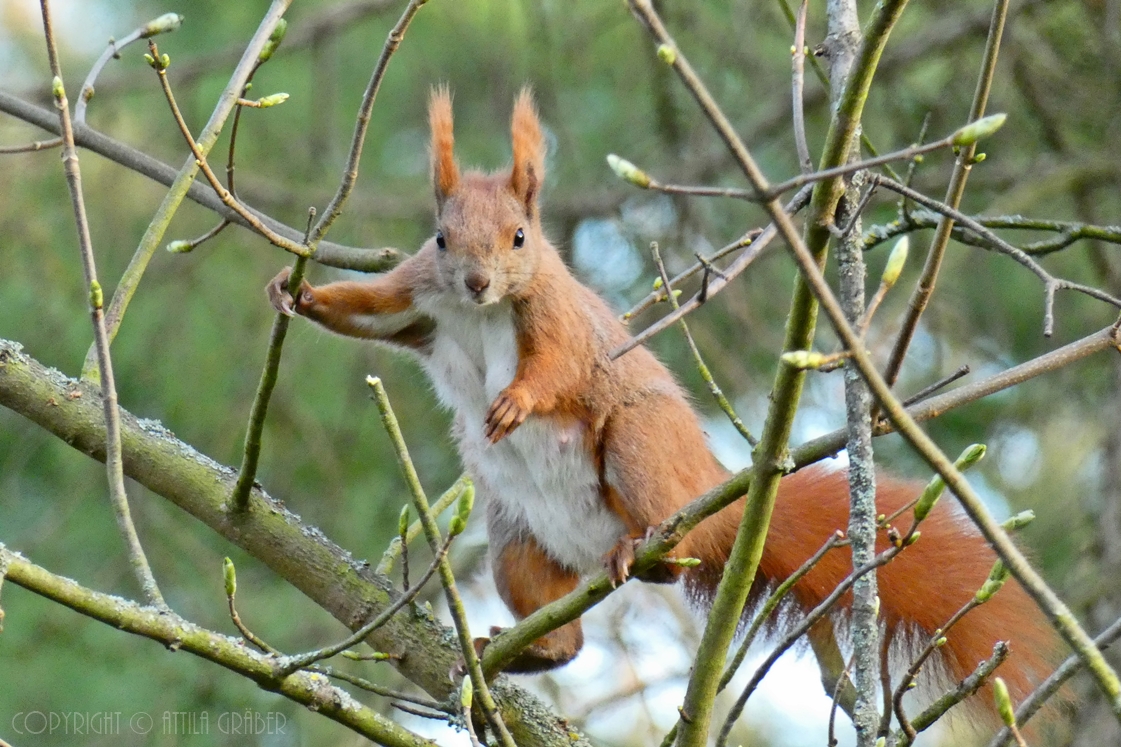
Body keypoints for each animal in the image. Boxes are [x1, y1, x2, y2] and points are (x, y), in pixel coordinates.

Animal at [266, 85, 1053, 708]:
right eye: (438, 237)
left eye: (520, 236)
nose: (477, 282)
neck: (483, 313)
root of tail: (711, 492)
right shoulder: (418, 297)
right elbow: (368, 307)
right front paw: (296, 292)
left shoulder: (560, 322)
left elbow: (557, 372)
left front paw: (517, 401)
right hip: (517, 537)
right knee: (564, 631)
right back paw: (531, 648)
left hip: (639, 449)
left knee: (671, 549)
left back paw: (642, 553)